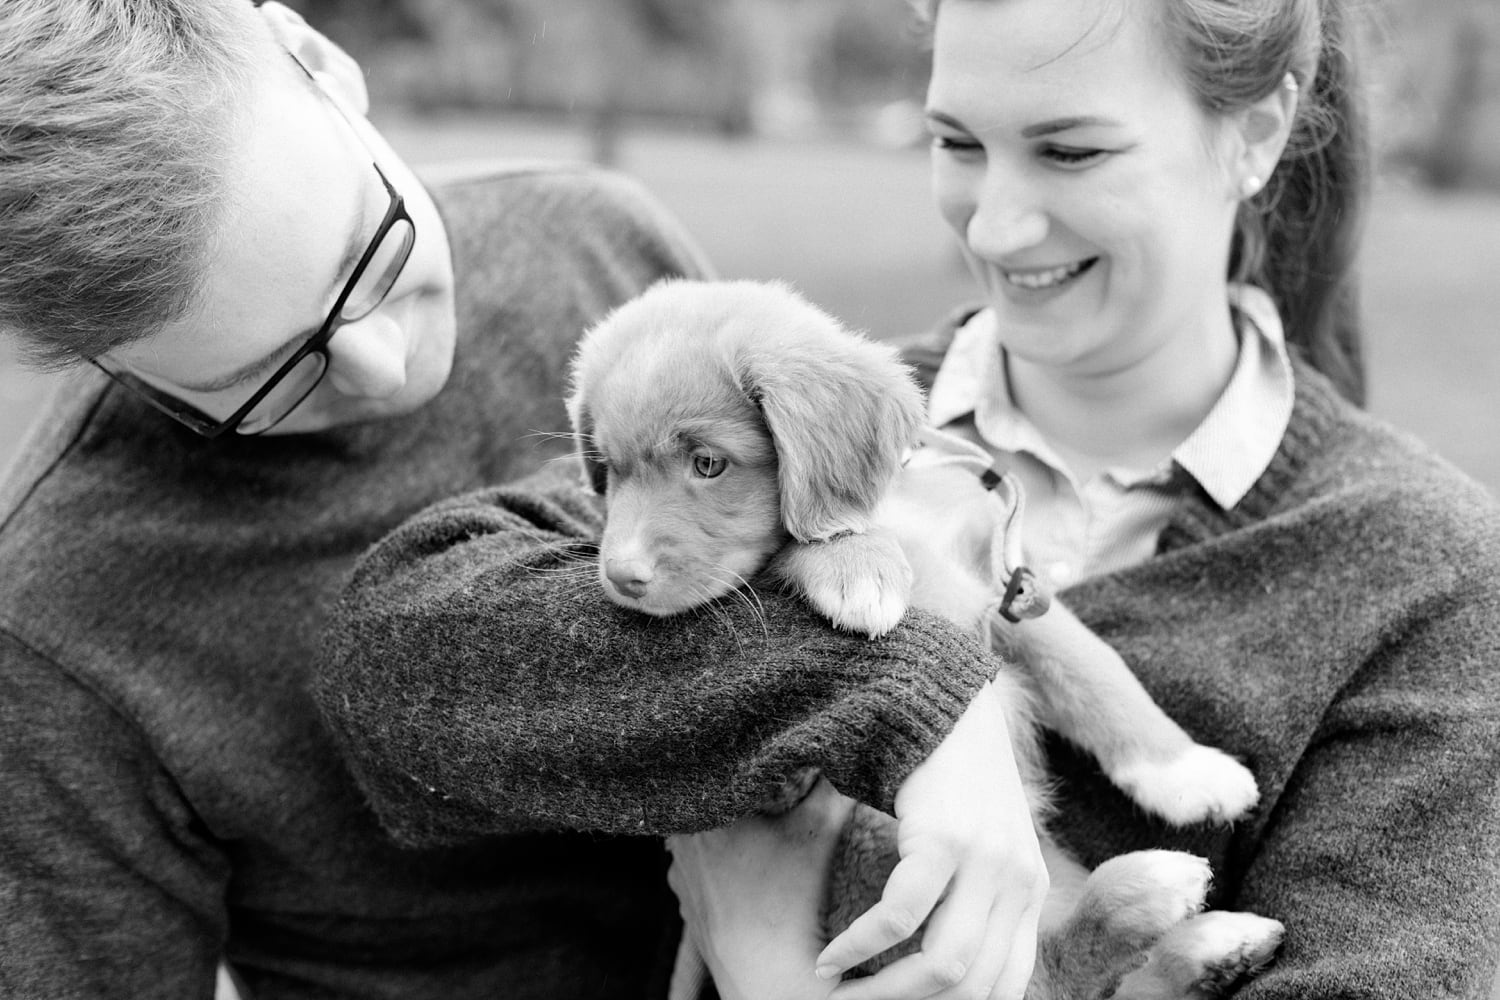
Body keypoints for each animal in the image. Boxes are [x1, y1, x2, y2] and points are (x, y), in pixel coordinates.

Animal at [567, 277, 1284, 995]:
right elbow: (798, 545)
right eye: (609, 470)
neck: (897, 507)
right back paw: (1155, 902)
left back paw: (1209, 945)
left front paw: (1187, 771)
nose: (620, 577)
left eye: (708, 463)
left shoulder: (1004, 586)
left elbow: (1094, 668)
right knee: (1044, 970)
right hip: (892, 849)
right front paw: (858, 564)